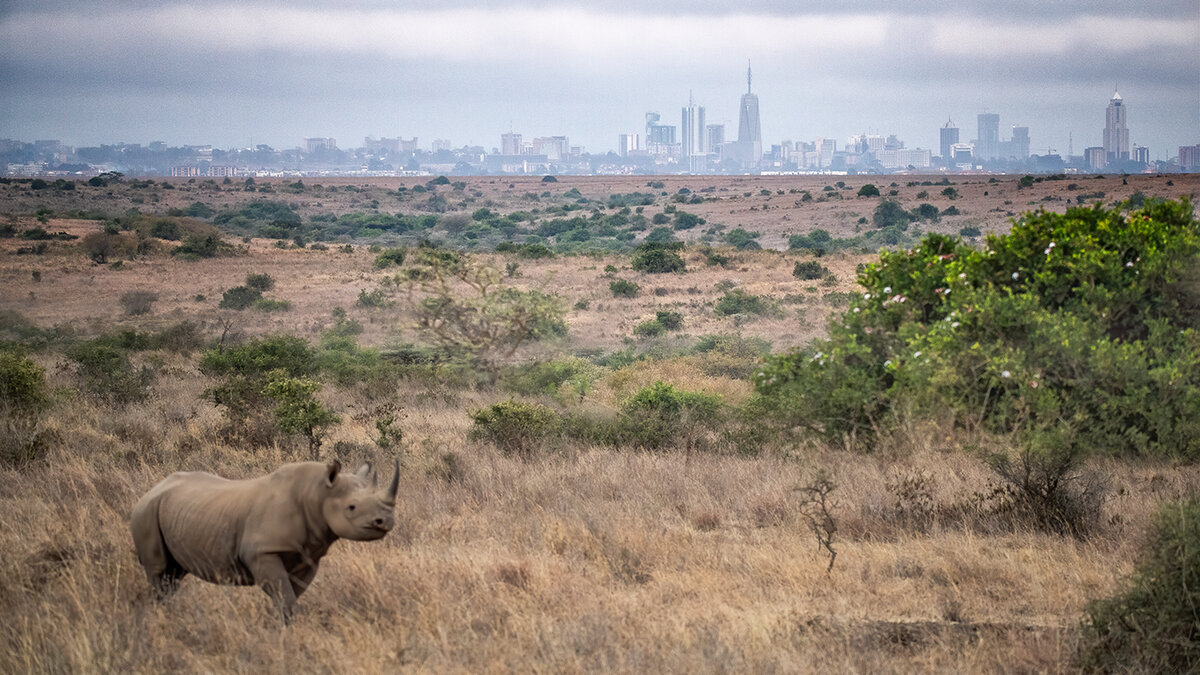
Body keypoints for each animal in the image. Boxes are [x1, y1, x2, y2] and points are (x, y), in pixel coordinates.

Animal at [130, 459, 398, 621]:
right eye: (351, 507)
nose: (385, 521)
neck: (317, 493)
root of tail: (150, 490)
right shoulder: (262, 552)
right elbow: (284, 597)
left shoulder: (308, 557)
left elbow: (291, 596)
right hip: (146, 512)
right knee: (158, 571)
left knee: (173, 576)